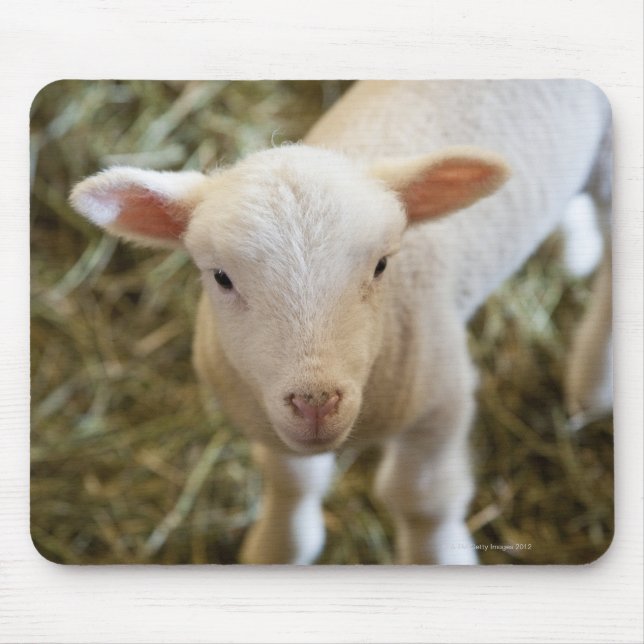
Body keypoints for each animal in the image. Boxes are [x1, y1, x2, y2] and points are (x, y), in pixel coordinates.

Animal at [70, 80, 612, 565]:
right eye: (221, 277)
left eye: (382, 265)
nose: (315, 402)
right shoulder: (266, 419)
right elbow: (293, 482)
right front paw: (279, 550)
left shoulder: (441, 402)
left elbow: (422, 501)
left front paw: (438, 558)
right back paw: (572, 248)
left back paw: (592, 387)